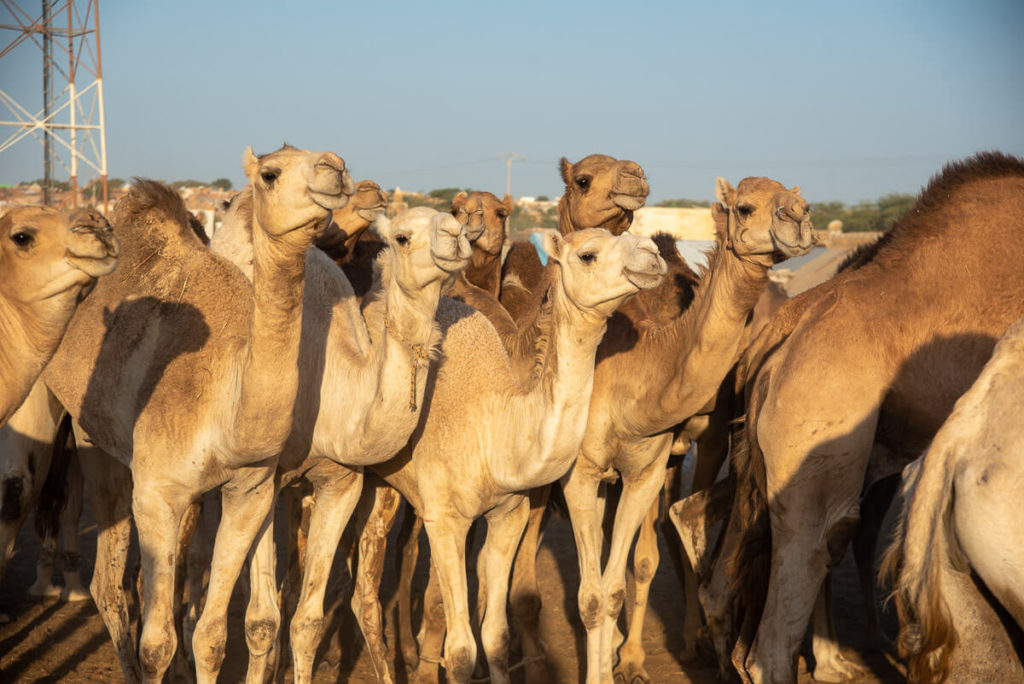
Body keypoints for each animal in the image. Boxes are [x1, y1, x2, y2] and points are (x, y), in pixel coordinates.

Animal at [41, 145, 354, 684]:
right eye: (270, 174)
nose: (334, 166)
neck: (226, 414)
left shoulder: (250, 492)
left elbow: (210, 635)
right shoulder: (155, 495)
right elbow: (156, 644)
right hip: (86, 438)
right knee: (107, 584)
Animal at [212, 205, 475, 679]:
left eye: (457, 224)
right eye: (402, 236)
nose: (456, 235)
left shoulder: (343, 481)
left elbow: (307, 622)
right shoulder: (261, 478)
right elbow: (261, 620)